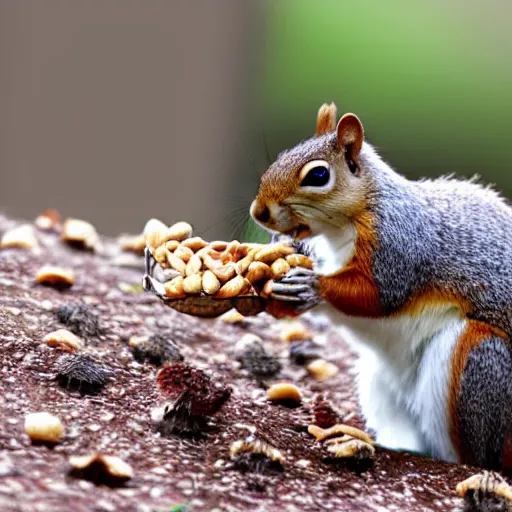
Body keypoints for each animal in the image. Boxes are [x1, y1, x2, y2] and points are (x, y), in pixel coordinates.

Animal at [250, 102, 512, 470]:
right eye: (282, 155)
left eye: (318, 176)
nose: (258, 212)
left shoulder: (398, 246)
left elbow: (376, 296)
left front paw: (313, 286)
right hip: (380, 385)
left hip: (478, 362)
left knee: (475, 457)